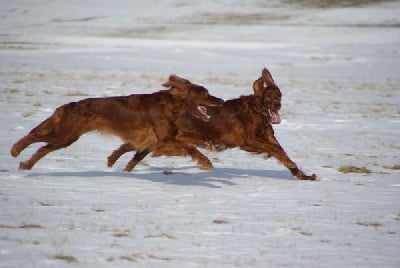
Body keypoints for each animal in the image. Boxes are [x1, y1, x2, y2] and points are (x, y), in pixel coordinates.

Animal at [10, 75, 222, 172]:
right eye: (205, 93)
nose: (220, 101)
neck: (172, 105)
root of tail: (67, 105)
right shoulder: (164, 140)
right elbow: (190, 147)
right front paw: (206, 162)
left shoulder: (164, 136)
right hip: (63, 133)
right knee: (33, 136)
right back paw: (15, 150)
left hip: (66, 137)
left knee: (43, 148)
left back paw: (26, 165)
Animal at [108, 69, 316, 180]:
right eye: (268, 97)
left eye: (279, 95)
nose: (277, 105)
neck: (257, 111)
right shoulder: (248, 141)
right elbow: (276, 151)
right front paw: (298, 172)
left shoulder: (268, 138)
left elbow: (283, 153)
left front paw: (302, 175)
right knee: (133, 147)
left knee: (134, 150)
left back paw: (119, 166)